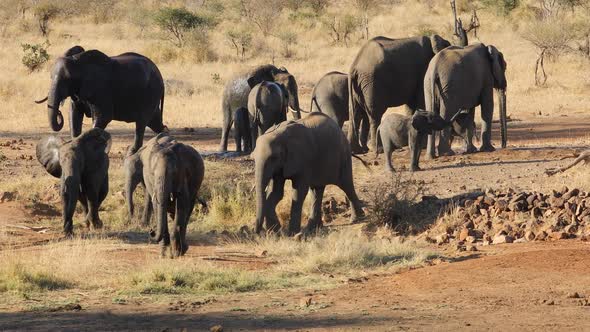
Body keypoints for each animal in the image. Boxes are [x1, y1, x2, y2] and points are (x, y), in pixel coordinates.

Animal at [35, 46, 166, 154]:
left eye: (67, 80)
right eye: (51, 77)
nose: (58, 112)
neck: (78, 62)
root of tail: (160, 74)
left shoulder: (101, 90)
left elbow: (103, 117)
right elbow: (74, 115)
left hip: (151, 92)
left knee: (141, 122)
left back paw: (132, 152)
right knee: (154, 122)